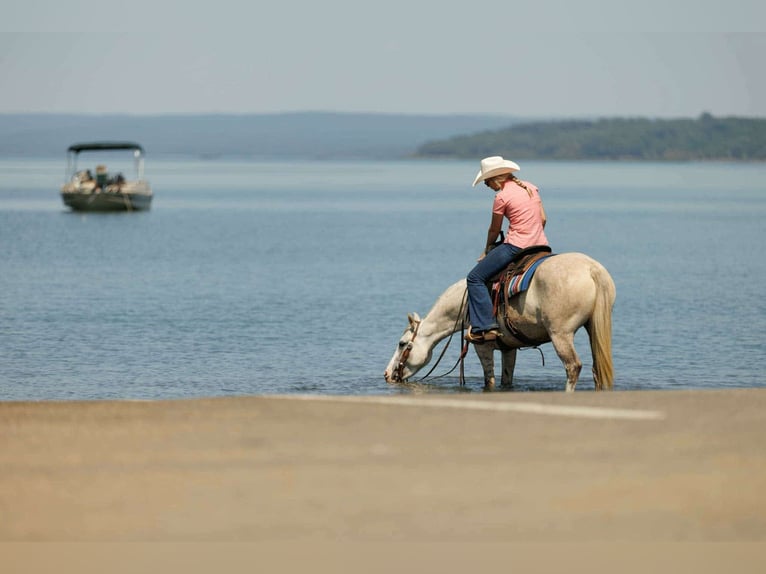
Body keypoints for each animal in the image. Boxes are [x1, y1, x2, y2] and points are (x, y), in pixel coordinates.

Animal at [384, 252, 616, 392]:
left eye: (402, 344)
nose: (386, 375)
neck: (466, 303)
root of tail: (592, 269)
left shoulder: (482, 346)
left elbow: (490, 379)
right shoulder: (508, 348)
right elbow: (506, 379)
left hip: (561, 334)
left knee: (573, 366)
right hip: (592, 328)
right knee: (596, 369)